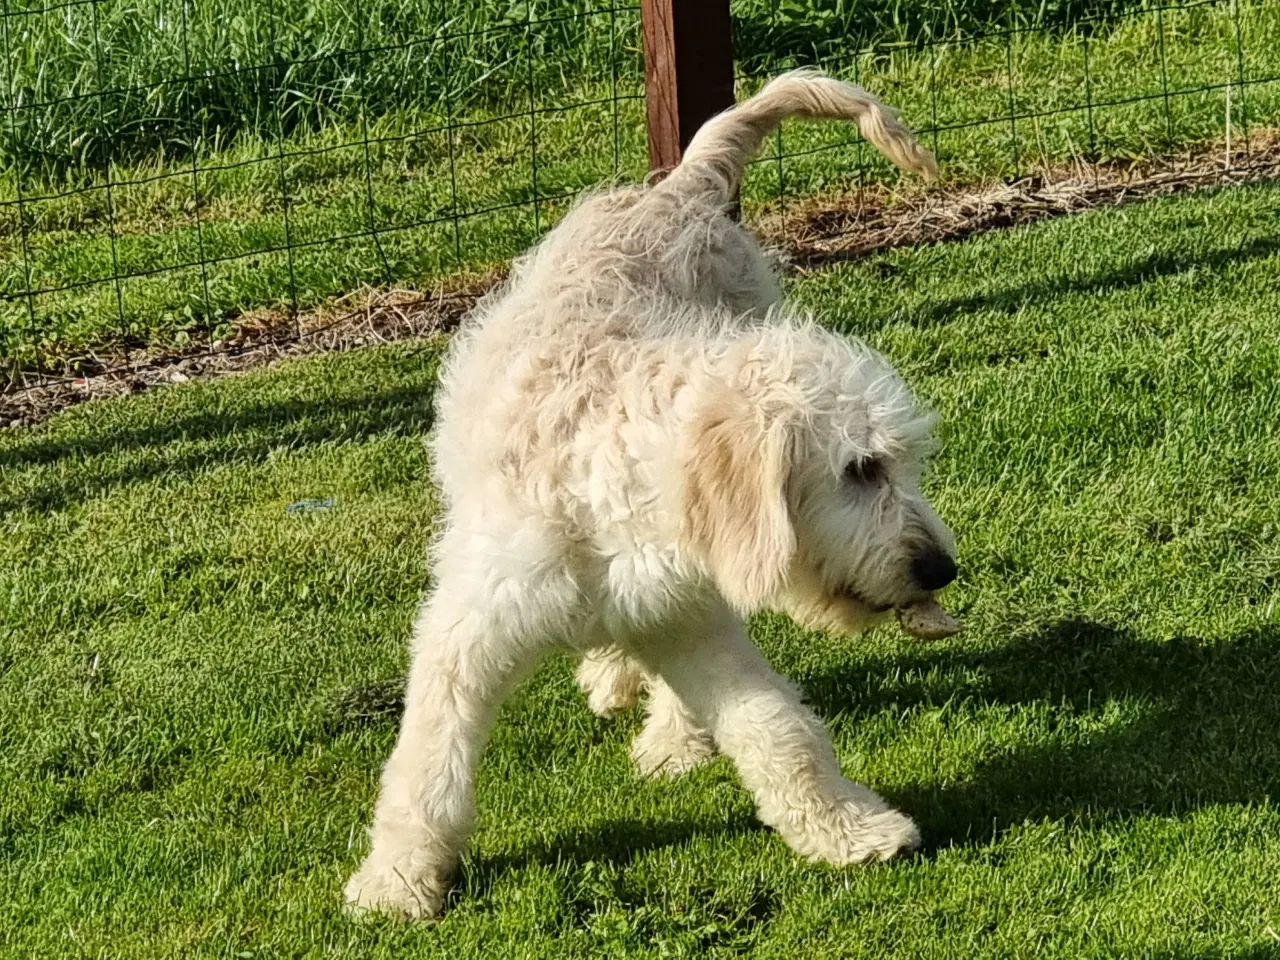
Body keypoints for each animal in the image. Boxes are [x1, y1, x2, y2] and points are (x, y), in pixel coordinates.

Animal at [345, 71, 957, 921]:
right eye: (861, 468)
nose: (940, 570)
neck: (611, 494)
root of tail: (678, 187)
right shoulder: (468, 630)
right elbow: (426, 765)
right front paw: (397, 882)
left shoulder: (689, 619)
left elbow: (777, 727)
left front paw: (848, 827)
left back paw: (667, 729)